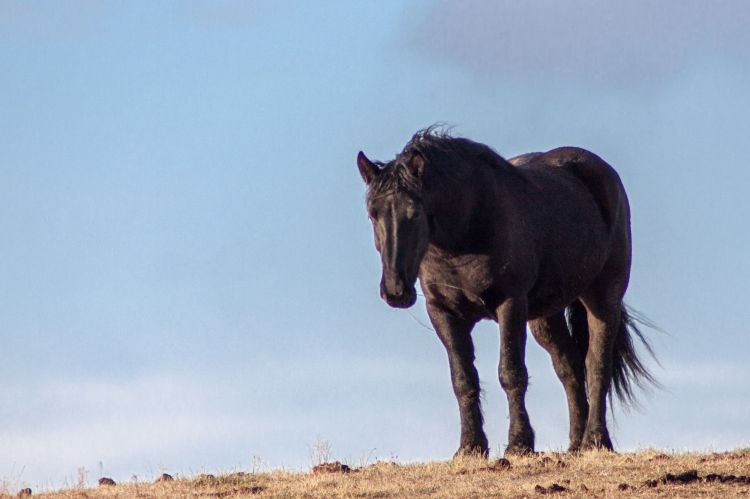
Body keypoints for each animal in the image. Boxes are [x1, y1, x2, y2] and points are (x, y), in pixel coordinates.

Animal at [356, 129, 656, 458]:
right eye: (372, 214)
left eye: (414, 213)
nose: (395, 291)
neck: (469, 228)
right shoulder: (443, 312)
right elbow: (463, 378)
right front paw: (470, 446)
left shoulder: (510, 304)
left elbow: (511, 373)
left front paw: (519, 444)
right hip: (544, 316)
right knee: (570, 367)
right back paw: (575, 444)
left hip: (602, 297)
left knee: (597, 364)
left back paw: (596, 440)